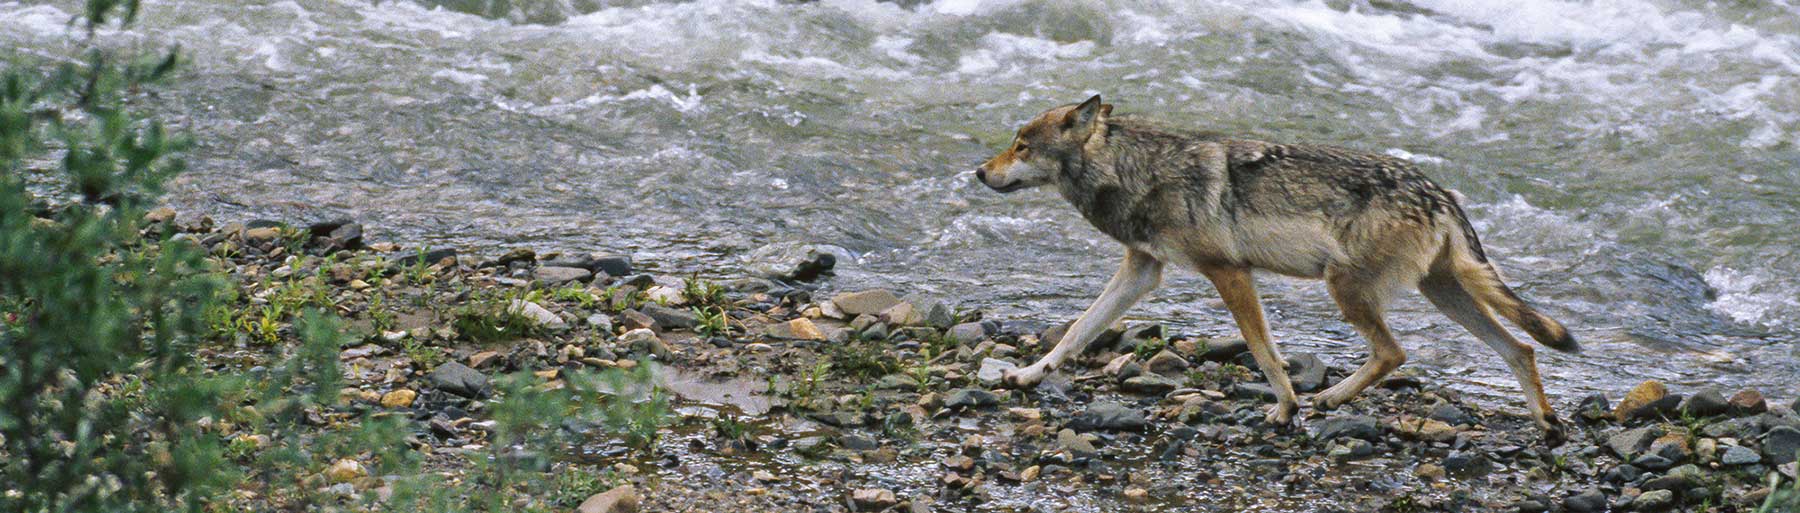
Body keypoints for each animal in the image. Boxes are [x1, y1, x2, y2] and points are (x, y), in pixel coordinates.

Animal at [979, 95, 1584, 442]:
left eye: (1022, 146)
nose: (980, 172)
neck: (1136, 169)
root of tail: (1440, 193)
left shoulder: (1229, 272)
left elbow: (1265, 354)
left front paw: (1286, 408)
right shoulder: (1143, 270)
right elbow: (1076, 333)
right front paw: (1027, 375)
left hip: (1347, 289)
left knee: (1395, 352)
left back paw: (1328, 400)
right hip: (1442, 294)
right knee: (1521, 348)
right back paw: (1547, 425)